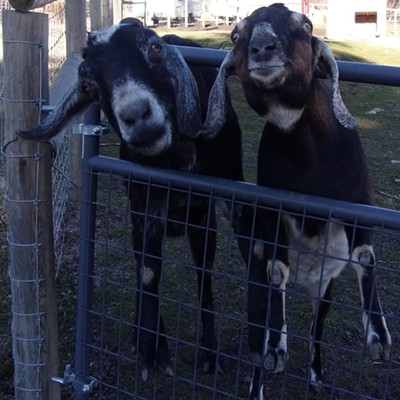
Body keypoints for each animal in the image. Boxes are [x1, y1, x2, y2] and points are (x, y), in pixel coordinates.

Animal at [16, 21, 244, 382]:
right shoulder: (144, 205)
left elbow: (207, 275)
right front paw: (153, 349)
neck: (176, 158)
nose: (136, 115)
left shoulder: (211, 210)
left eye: (154, 48)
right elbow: (148, 272)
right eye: (89, 85)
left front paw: (212, 352)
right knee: (142, 266)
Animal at [200, 3, 390, 400]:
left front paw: (379, 337)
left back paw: (316, 375)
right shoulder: (272, 211)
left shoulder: (359, 203)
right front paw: (276, 345)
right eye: (236, 34)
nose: (262, 48)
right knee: (260, 334)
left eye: (305, 25)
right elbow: (276, 272)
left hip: (327, 287)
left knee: (318, 325)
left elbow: (366, 256)